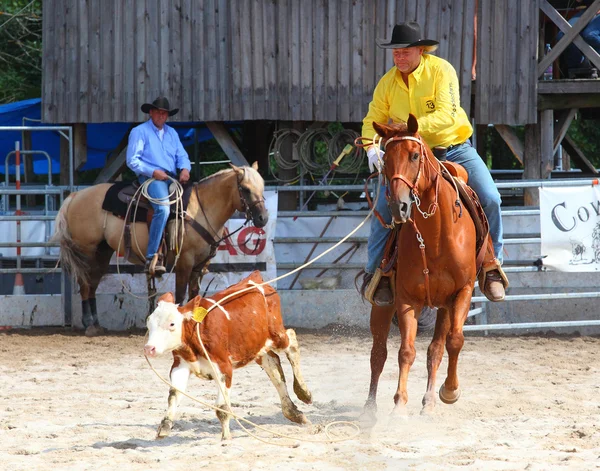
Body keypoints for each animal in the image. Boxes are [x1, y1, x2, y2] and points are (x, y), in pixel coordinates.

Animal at [51, 164, 268, 334]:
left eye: (262, 187)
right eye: (245, 189)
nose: (263, 218)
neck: (201, 209)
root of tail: (76, 195)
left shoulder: (200, 264)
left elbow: (195, 295)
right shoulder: (184, 261)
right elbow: (180, 296)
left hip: (102, 252)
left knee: (92, 283)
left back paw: (96, 324)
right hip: (86, 251)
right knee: (85, 283)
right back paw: (88, 324)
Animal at [145, 272, 314, 440]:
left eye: (172, 324)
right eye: (149, 322)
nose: (149, 348)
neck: (196, 330)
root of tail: (255, 278)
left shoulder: (224, 368)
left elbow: (222, 408)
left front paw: (225, 438)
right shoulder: (180, 365)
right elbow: (174, 394)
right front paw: (165, 426)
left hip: (277, 334)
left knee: (291, 341)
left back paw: (303, 392)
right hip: (256, 346)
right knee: (274, 367)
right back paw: (294, 413)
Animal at [360, 116, 478, 426]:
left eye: (415, 155)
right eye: (385, 159)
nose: (398, 206)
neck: (434, 237)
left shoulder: (461, 293)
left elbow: (453, 342)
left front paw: (449, 391)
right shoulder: (406, 299)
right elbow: (405, 351)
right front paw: (399, 404)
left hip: (444, 306)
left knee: (436, 350)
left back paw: (430, 401)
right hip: (382, 305)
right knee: (378, 353)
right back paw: (369, 407)